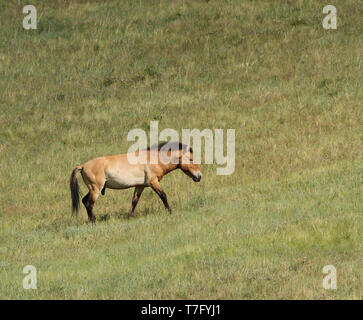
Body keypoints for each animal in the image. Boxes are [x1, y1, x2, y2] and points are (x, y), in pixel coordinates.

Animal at [69, 142, 203, 222]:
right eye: (191, 159)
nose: (199, 176)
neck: (154, 159)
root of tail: (83, 166)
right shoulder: (153, 182)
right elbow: (163, 196)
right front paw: (170, 211)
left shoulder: (140, 186)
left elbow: (134, 201)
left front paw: (129, 216)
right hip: (95, 189)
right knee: (89, 203)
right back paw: (94, 221)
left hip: (93, 189)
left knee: (84, 201)